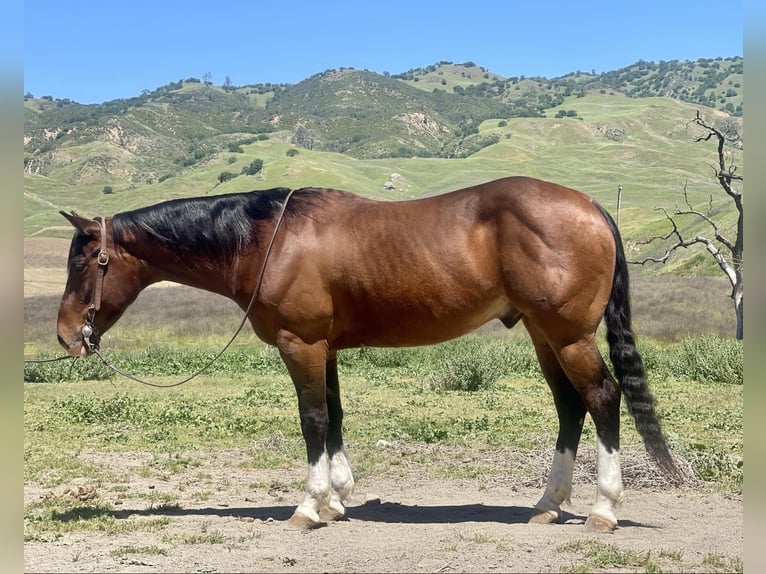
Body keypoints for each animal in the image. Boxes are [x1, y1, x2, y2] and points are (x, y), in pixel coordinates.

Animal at [55, 178, 680, 532]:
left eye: (84, 261)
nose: (65, 336)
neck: (268, 240)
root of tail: (591, 206)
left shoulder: (301, 345)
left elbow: (311, 420)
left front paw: (309, 508)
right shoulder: (324, 348)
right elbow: (333, 417)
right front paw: (337, 499)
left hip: (567, 335)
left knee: (602, 398)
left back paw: (602, 511)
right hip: (543, 334)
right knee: (570, 407)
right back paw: (548, 504)